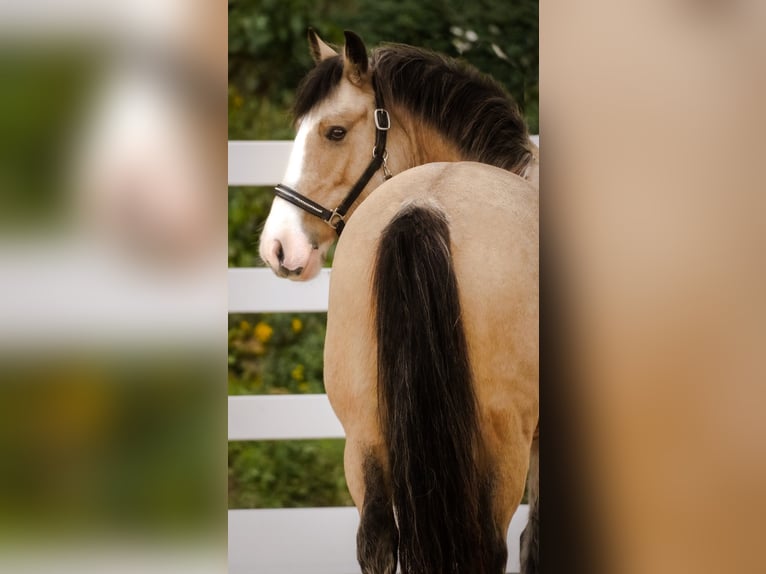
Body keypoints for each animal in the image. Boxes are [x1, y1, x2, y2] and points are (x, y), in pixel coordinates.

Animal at [258, 29, 540, 572]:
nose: (278, 246)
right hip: (501, 452)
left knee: (376, 541)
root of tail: (425, 204)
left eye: (335, 132)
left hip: (364, 439)